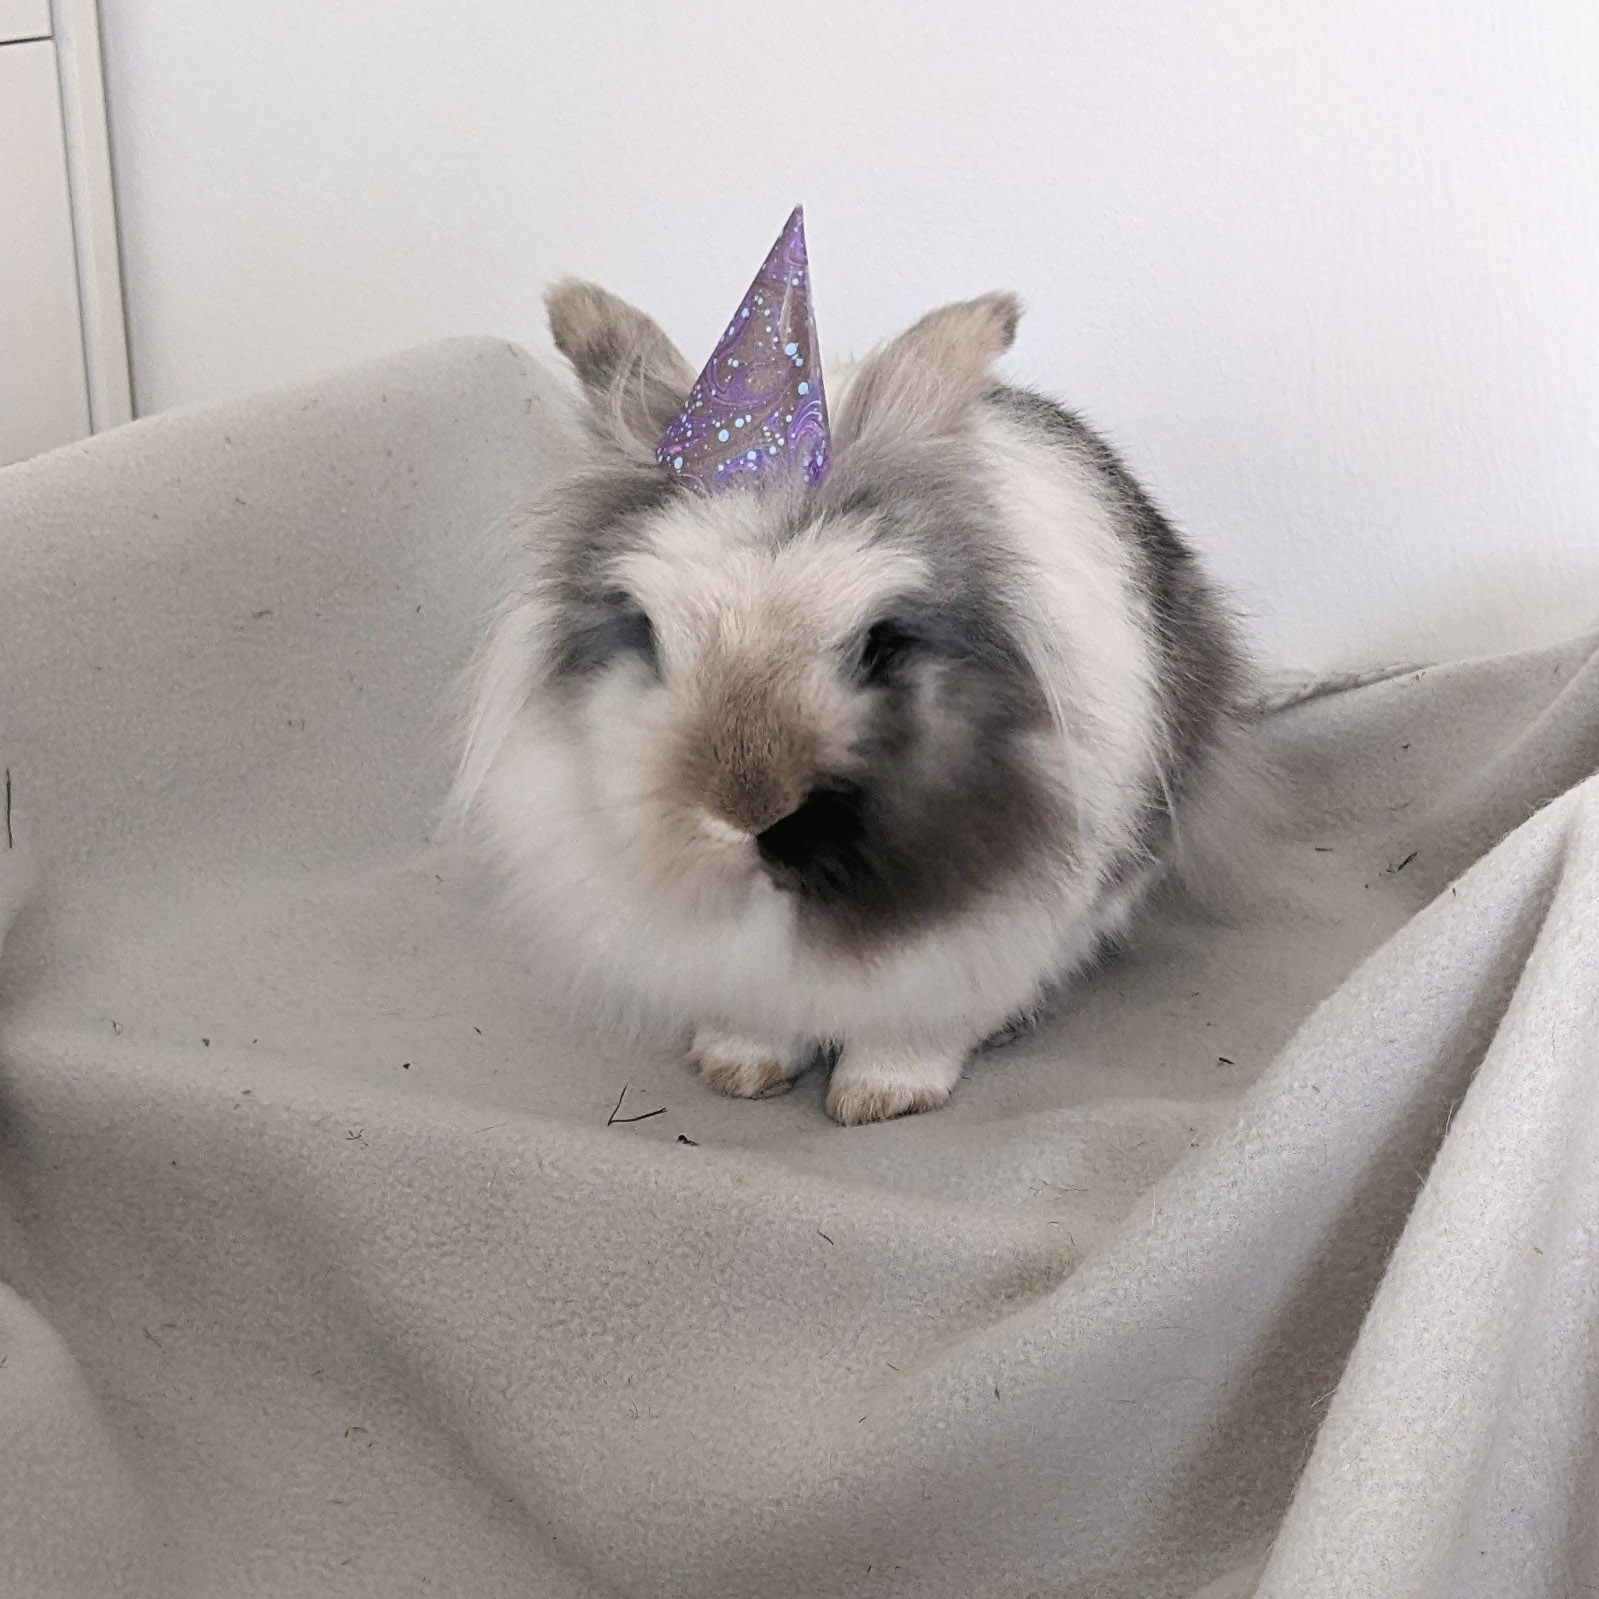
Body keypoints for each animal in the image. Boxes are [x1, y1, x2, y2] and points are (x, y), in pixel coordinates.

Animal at [450, 281, 1254, 1125]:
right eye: (646, 630)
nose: (749, 811)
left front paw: (880, 1096)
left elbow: (914, 1029)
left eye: (882, 643)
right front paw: (738, 1070)